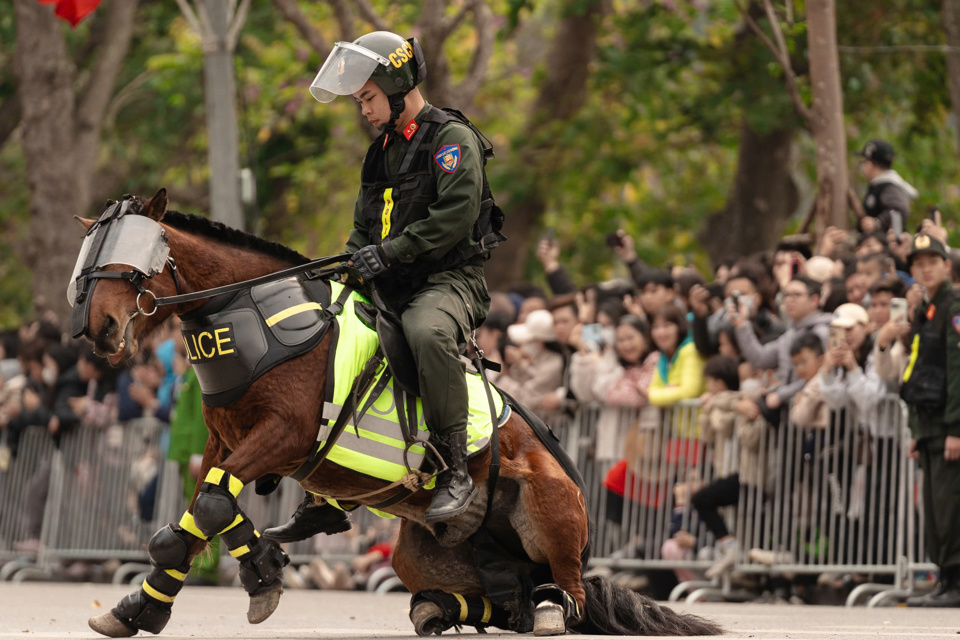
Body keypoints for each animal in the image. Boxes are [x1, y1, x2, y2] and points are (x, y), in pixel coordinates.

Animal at [75, 191, 720, 640]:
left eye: (130, 263)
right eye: (90, 261)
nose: (98, 327)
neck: (252, 309)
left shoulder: (283, 435)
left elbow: (210, 508)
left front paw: (258, 573)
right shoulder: (223, 443)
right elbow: (192, 521)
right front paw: (148, 604)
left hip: (550, 511)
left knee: (567, 599)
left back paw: (545, 611)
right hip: (421, 553)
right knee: (504, 600)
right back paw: (443, 607)